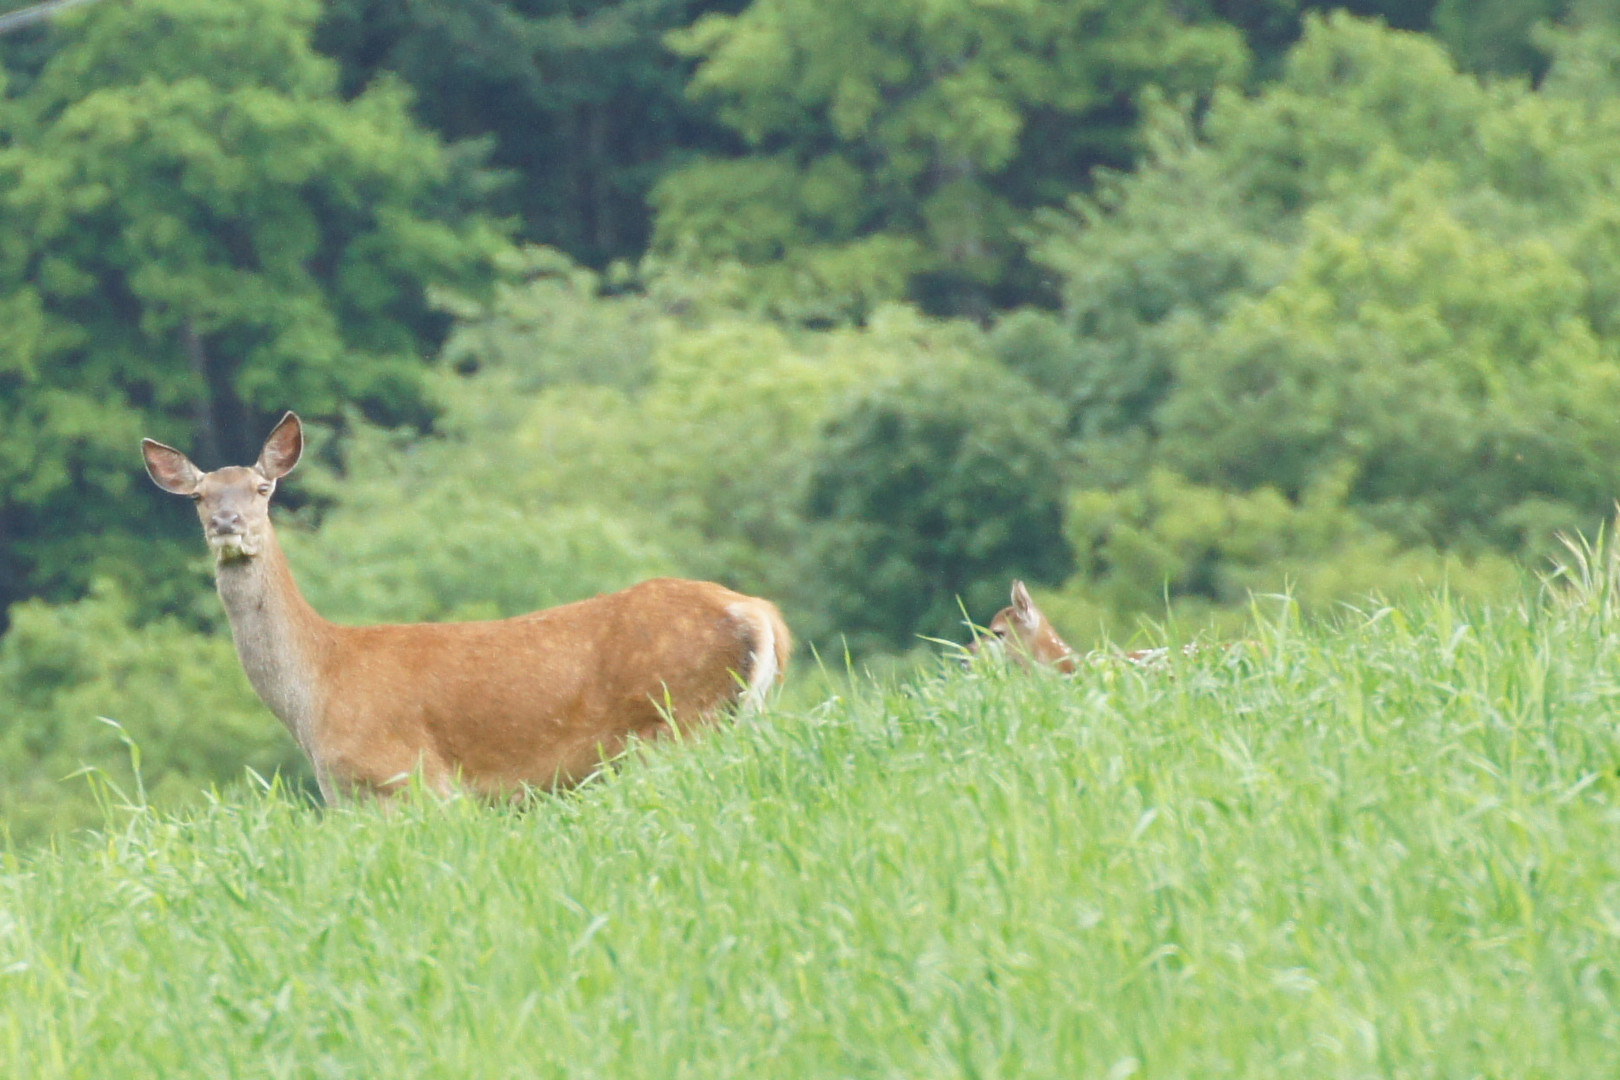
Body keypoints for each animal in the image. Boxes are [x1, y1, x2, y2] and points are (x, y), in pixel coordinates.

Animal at [145, 411, 790, 803]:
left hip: (682, 720)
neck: (317, 690)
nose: (228, 523)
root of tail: (758, 614)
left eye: (262, 489)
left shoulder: (408, 778)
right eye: (199, 497)